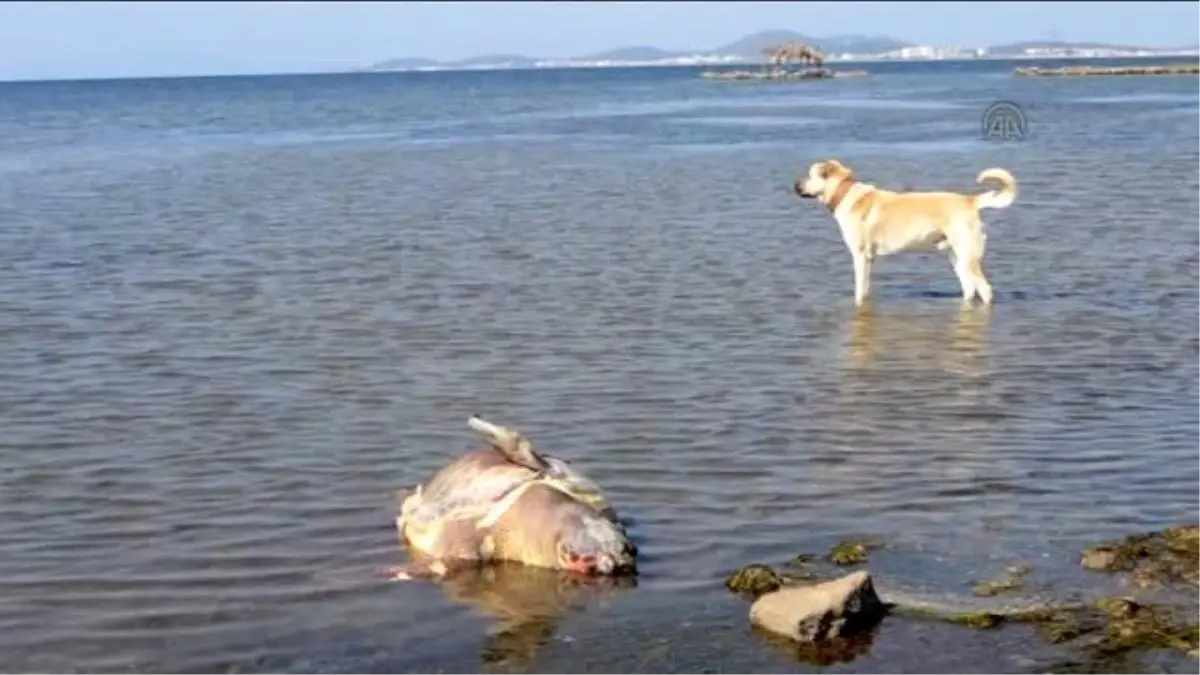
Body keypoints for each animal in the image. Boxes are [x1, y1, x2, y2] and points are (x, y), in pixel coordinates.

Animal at [792, 158, 1017, 306]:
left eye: (809, 175)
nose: (794, 185)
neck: (844, 193)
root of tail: (970, 201)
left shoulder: (860, 255)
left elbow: (859, 290)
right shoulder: (869, 259)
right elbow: (865, 289)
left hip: (968, 255)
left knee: (985, 289)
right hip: (957, 258)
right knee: (969, 288)